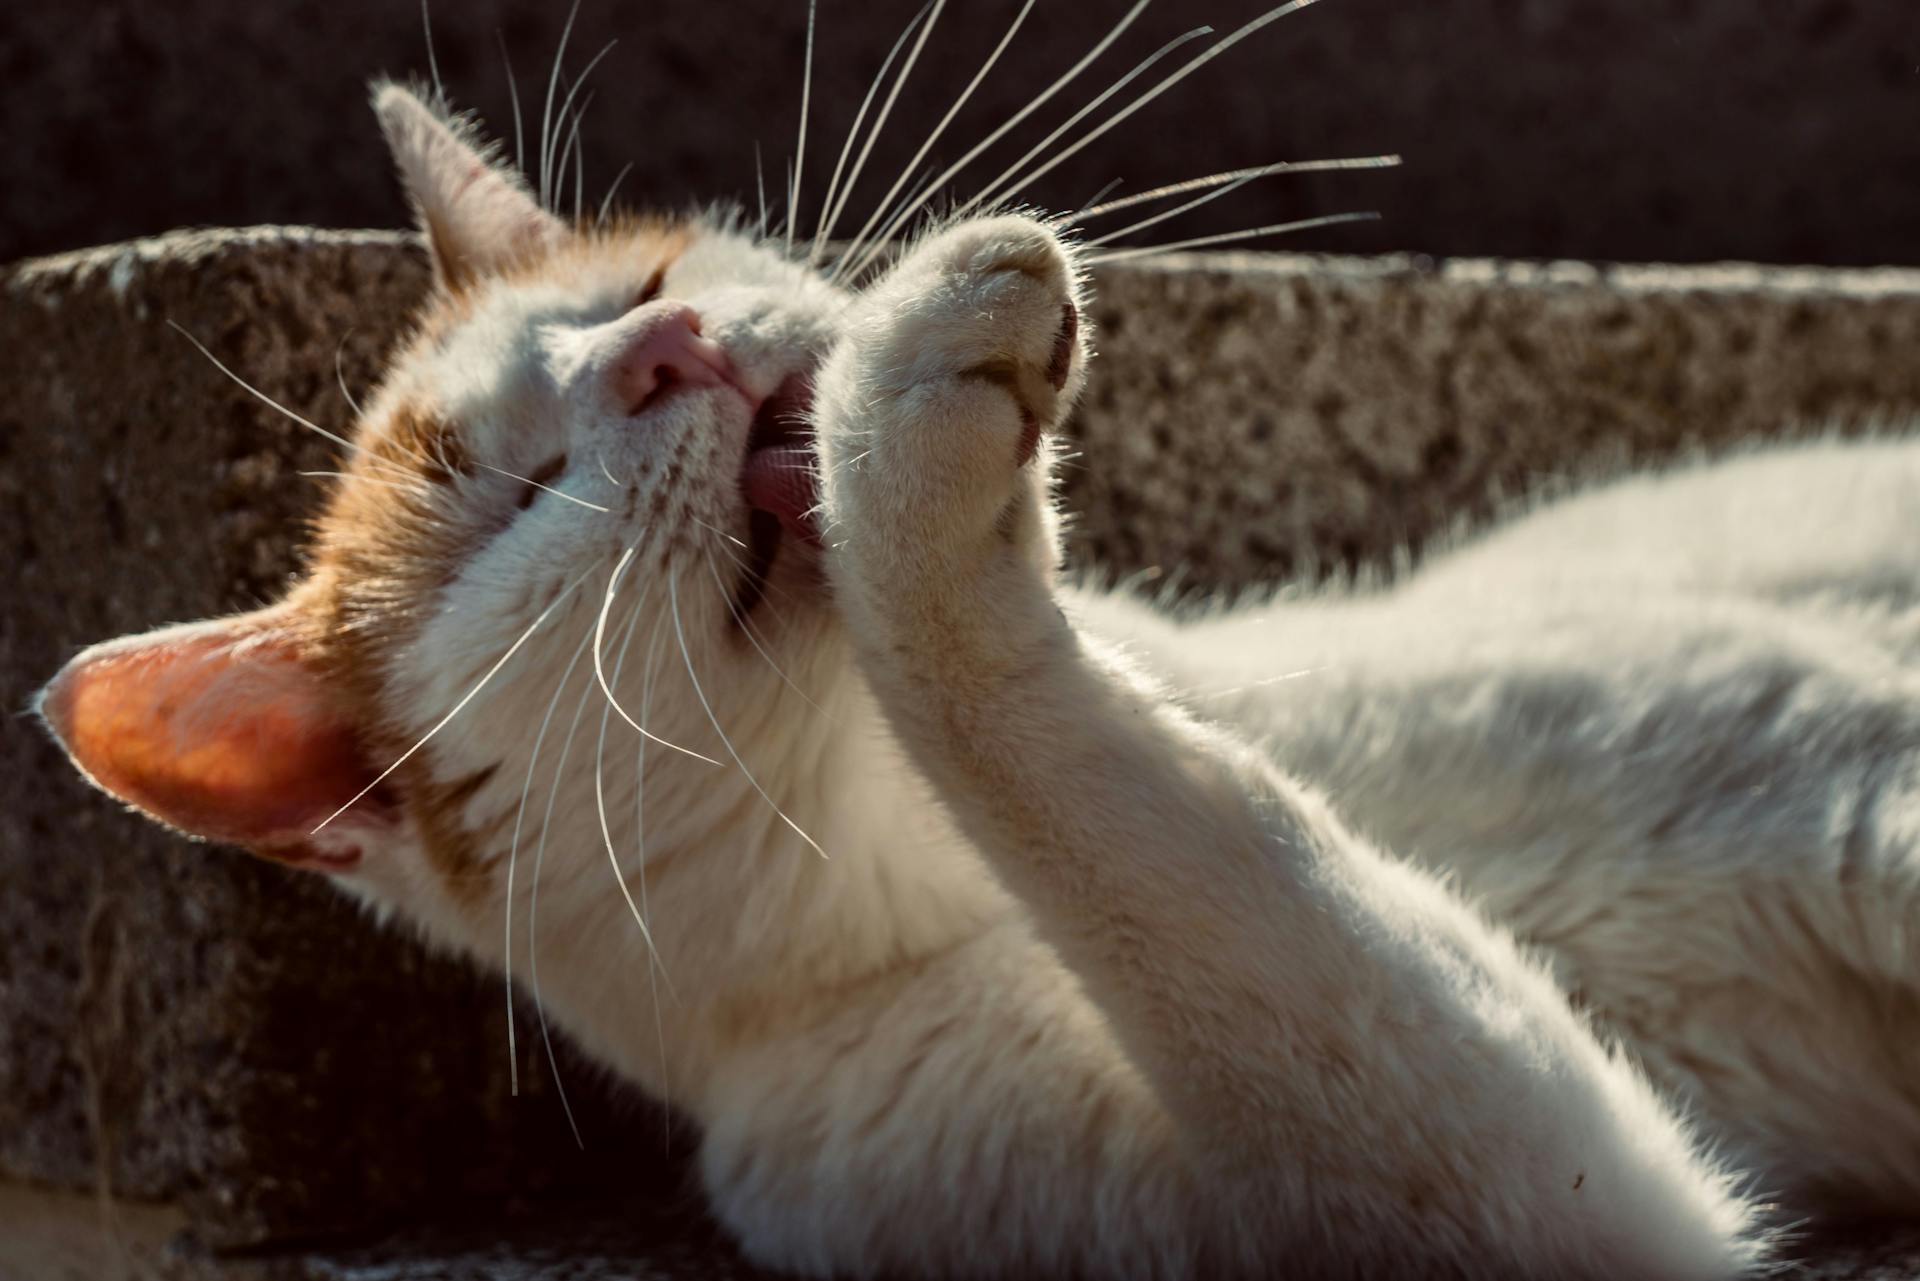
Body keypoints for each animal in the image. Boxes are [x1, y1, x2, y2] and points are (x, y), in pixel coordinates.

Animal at [30, 62, 1920, 1281]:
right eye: (516, 496)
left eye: (646, 279)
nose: (667, 349)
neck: (916, 850)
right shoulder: (1561, 1195)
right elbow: (1148, 828)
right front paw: (900, 407)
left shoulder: (1846, 776)